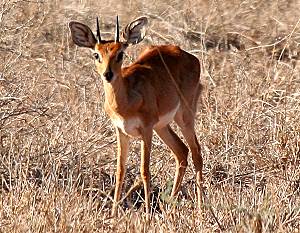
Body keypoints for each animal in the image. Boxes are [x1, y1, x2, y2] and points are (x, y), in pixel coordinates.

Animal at [69, 16, 203, 218]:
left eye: (120, 54)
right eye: (96, 54)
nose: (108, 74)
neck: (125, 101)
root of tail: (189, 56)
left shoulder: (145, 131)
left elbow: (144, 171)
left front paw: (147, 215)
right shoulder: (121, 131)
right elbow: (120, 170)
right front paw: (114, 214)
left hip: (184, 117)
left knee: (196, 153)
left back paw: (203, 209)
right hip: (162, 127)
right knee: (182, 152)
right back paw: (170, 207)